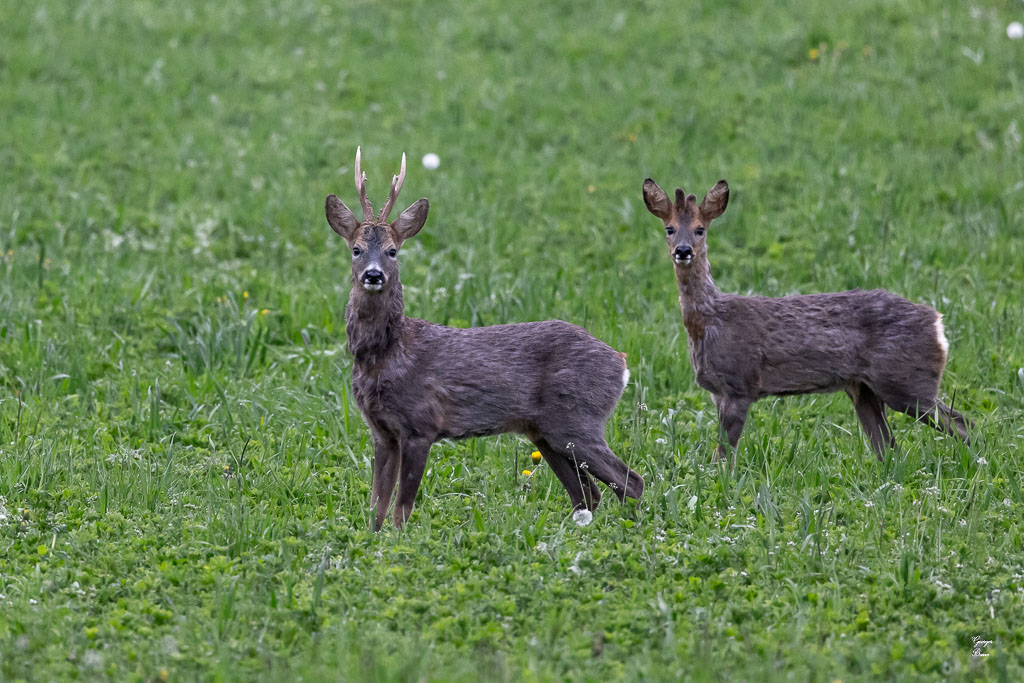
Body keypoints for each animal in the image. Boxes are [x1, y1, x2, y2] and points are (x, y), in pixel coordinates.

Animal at [324, 148, 644, 530]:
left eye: (392, 251)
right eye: (356, 249)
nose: (373, 275)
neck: (386, 354)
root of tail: (621, 363)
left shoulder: (421, 424)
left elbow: (402, 509)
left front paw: (399, 540)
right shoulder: (381, 431)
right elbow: (377, 508)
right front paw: (373, 538)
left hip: (578, 419)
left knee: (630, 481)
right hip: (546, 432)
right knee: (587, 494)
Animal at [642, 176, 972, 463]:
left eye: (700, 229)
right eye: (669, 228)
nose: (683, 251)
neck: (709, 322)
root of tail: (937, 323)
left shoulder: (740, 384)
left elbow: (724, 457)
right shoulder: (718, 393)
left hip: (906, 381)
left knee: (960, 422)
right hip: (864, 388)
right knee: (889, 447)